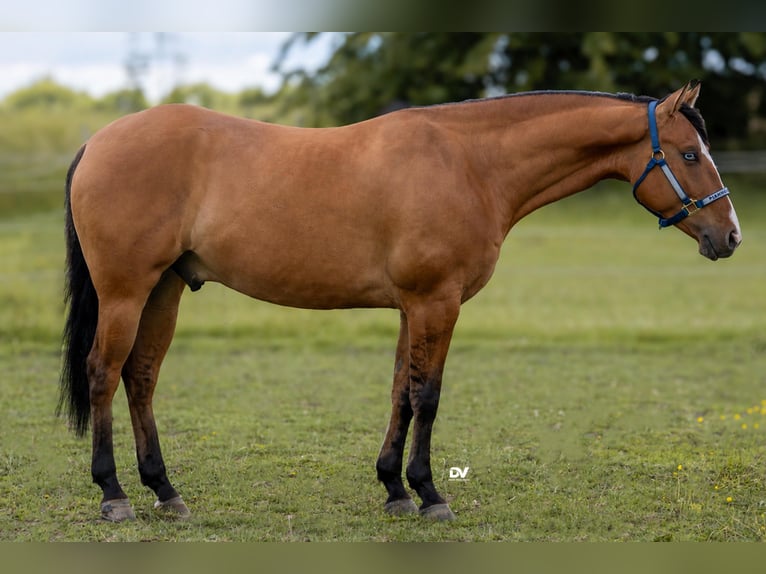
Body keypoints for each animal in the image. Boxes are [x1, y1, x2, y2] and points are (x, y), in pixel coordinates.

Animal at [59, 80, 741, 522]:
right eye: (689, 154)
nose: (730, 235)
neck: (469, 163)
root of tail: (97, 142)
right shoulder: (437, 302)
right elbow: (427, 396)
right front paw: (430, 494)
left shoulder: (412, 308)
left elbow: (400, 392)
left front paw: (393, 488)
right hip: (126, 291)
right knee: (103, 374)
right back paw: (114, 494)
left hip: (165, 290)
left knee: (141, 377)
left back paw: (164, 490)